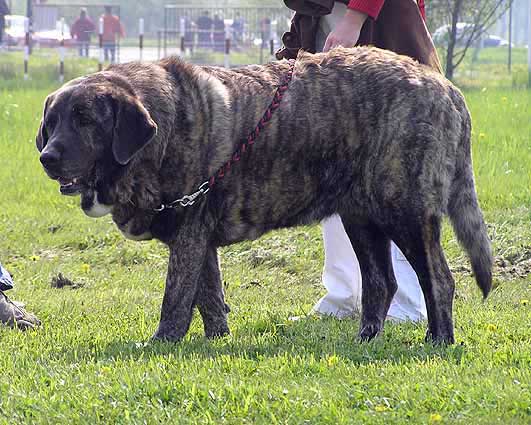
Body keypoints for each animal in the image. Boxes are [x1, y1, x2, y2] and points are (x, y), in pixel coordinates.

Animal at [36, 47, 494, 344]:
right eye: (52, 121)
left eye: (85, 119)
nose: (47, 156)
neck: (158, 137)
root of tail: (446, 87)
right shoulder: (198, 237)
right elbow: (208, 296)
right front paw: (216, 340)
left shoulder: (188, 234)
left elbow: (176, 298)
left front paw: (162, 344)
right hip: (361, 219)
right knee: (382, 281)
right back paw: (365, 339)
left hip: (405, 213)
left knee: (439, 279)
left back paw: (438, 340)